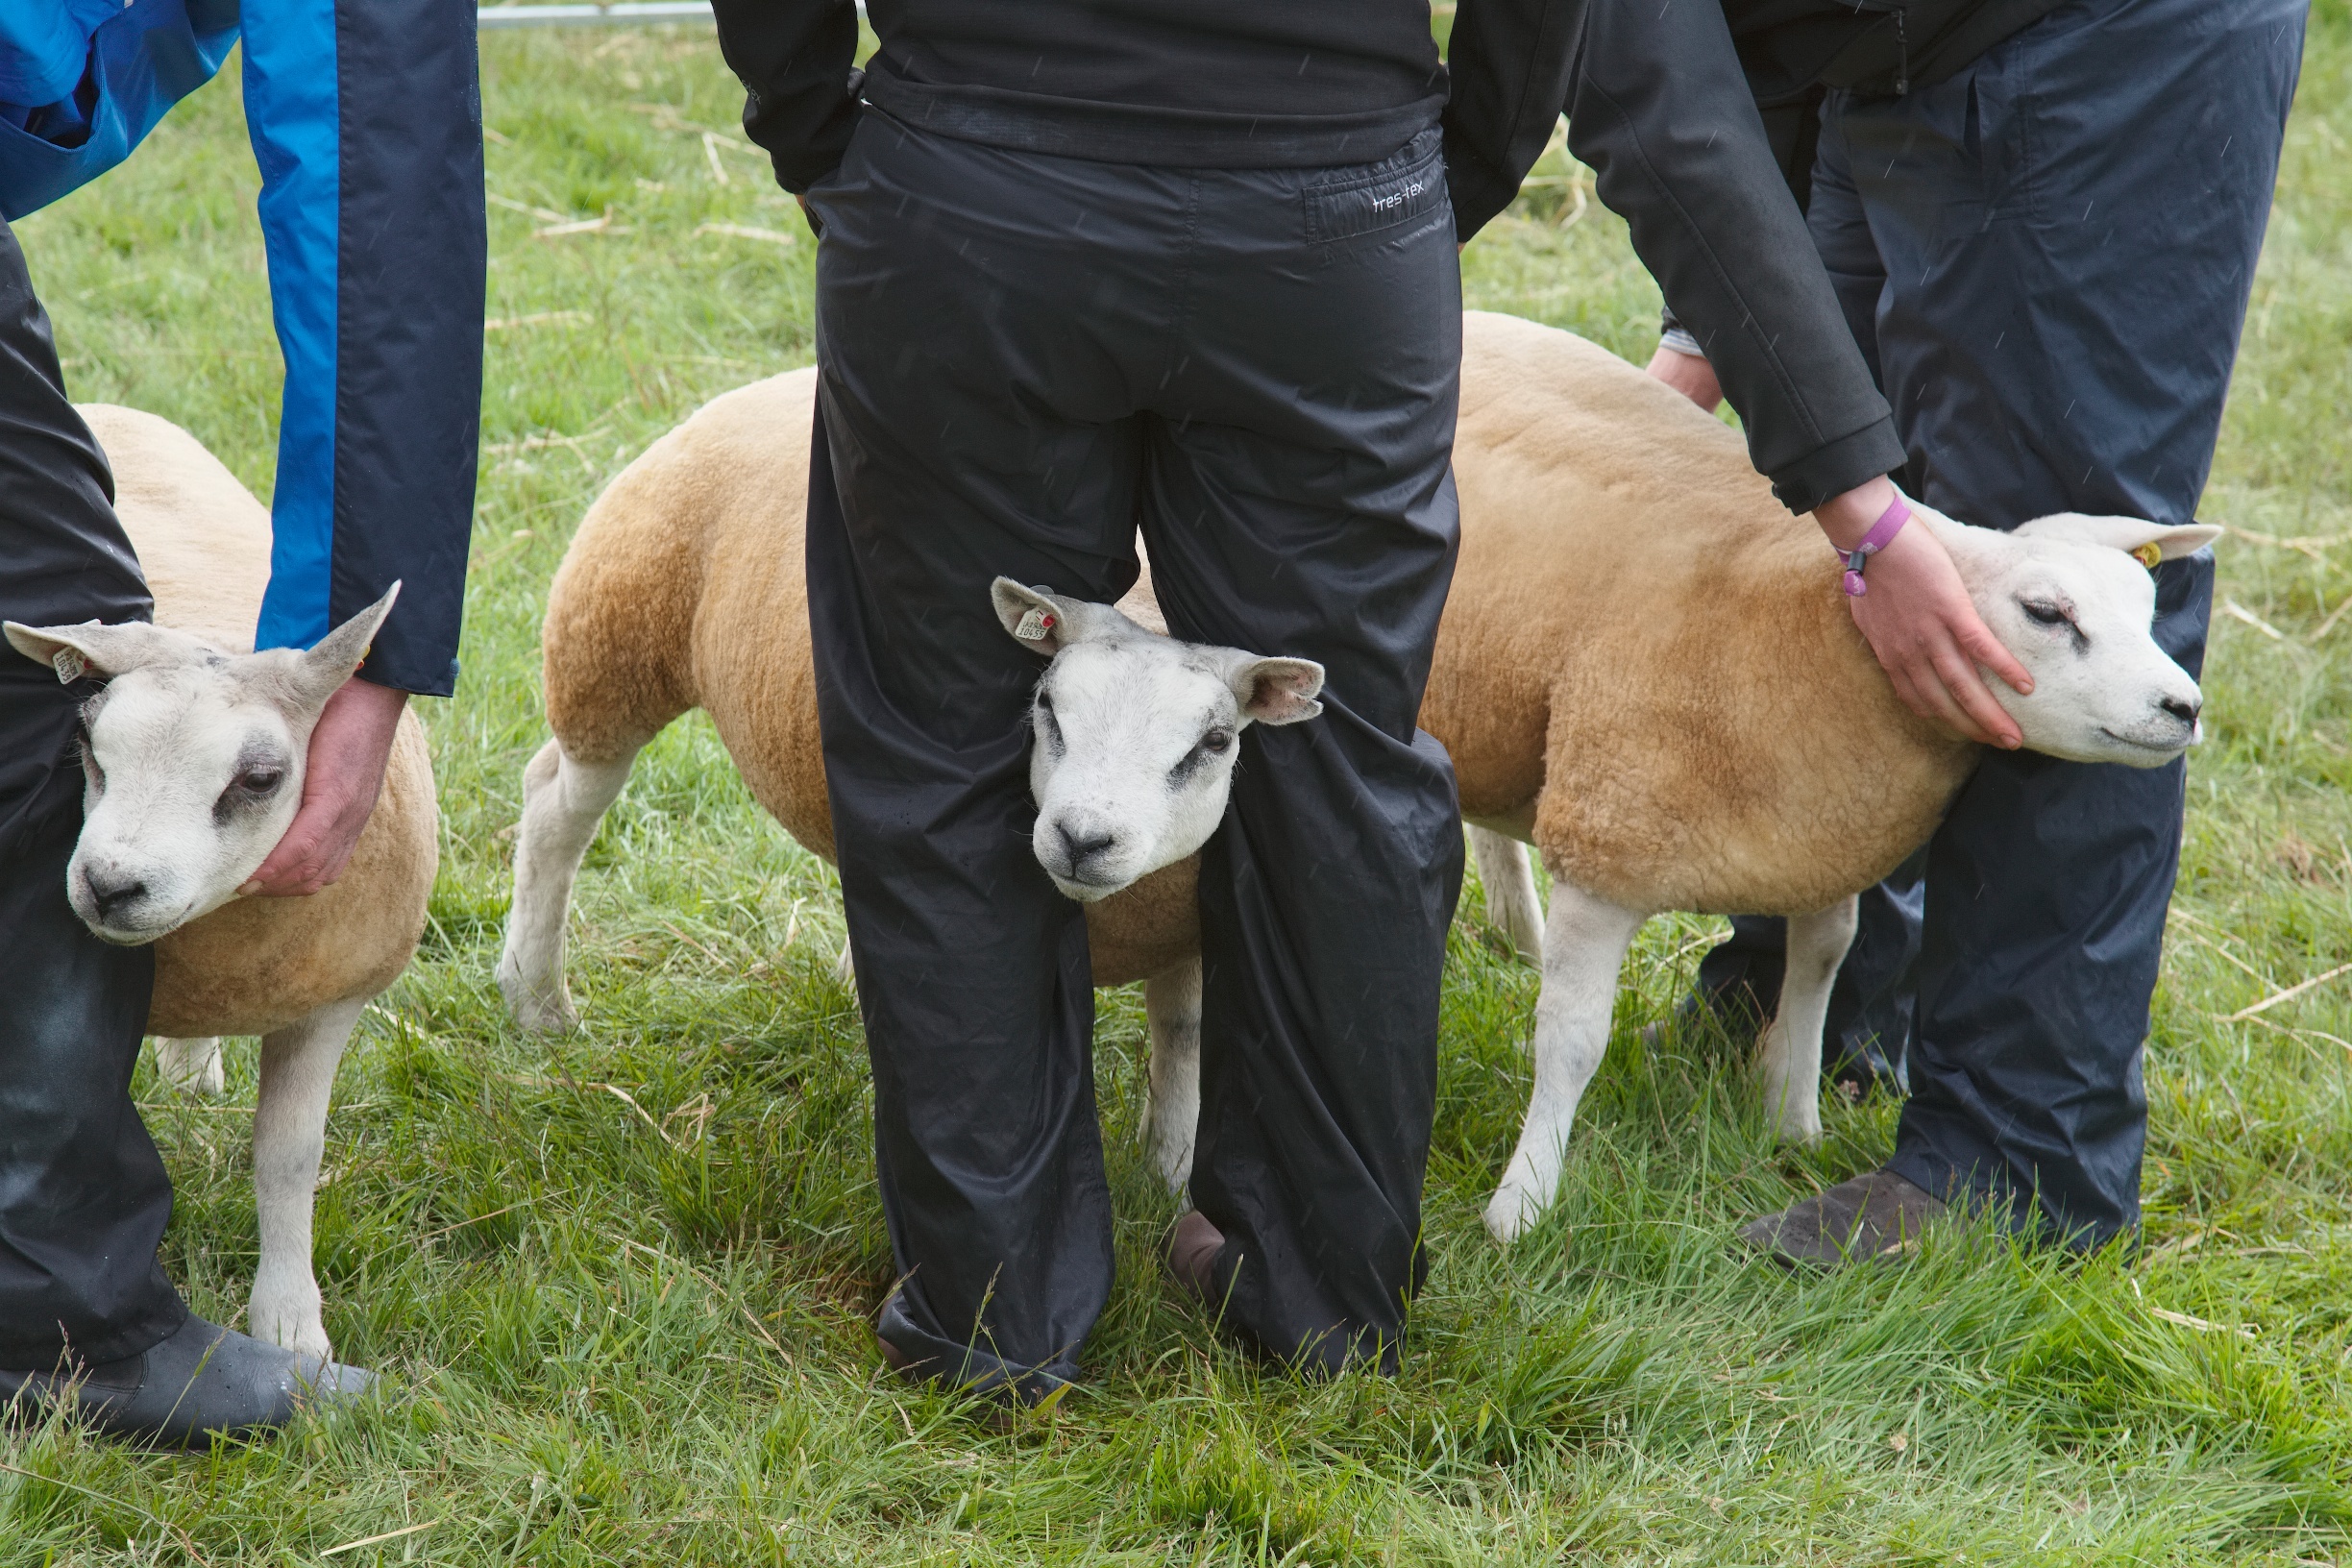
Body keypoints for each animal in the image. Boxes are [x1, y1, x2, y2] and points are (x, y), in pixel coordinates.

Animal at [1, 404, 437, 1363]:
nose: (110, 885)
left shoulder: (331, 998)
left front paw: (291, 1327)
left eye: (261, 778)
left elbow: (288, 1156)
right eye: (87, 745)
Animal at [505, 314, 2211, 1240]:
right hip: (617, 637)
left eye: (2142, 609)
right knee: (555, 804)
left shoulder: (1823, 835)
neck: (1804, 628)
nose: (2184, 705)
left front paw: (1788, 1117)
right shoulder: (1614, 834)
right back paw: (535, 998)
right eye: (2044, 613)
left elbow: (1827, 958)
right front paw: (1523, 1208)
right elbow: (1574, 1042)